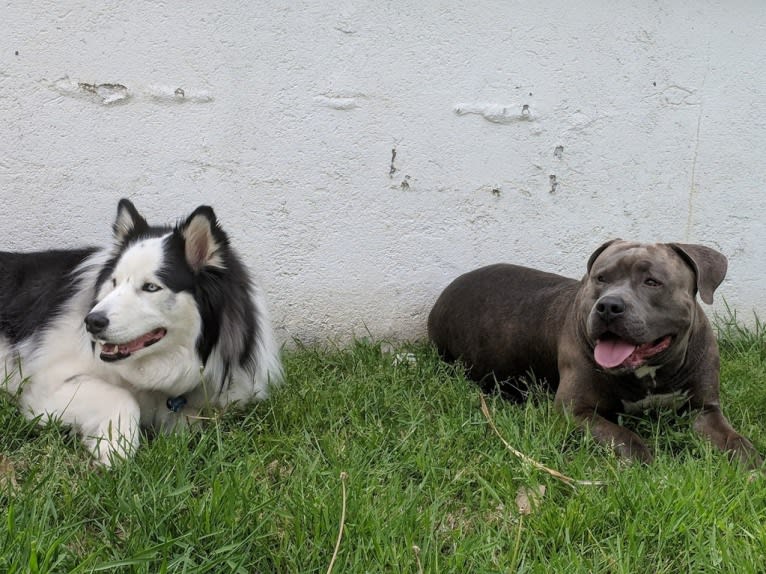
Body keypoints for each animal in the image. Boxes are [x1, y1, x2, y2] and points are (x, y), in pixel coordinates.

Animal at [0, 200, 282, 466]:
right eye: (114, 282)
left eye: (150, 287)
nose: (91, 321)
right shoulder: (46, 386)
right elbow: (121, 397)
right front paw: (115, 450)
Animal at [432, 238, 760, 468]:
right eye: (601, 278)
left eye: (652, 282)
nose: (609, 306)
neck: (650, 373)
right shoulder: (575, 411)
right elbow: (625, 437)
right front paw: (646, 461)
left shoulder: (704, 410)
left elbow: (733, 440)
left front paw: (751, 464)